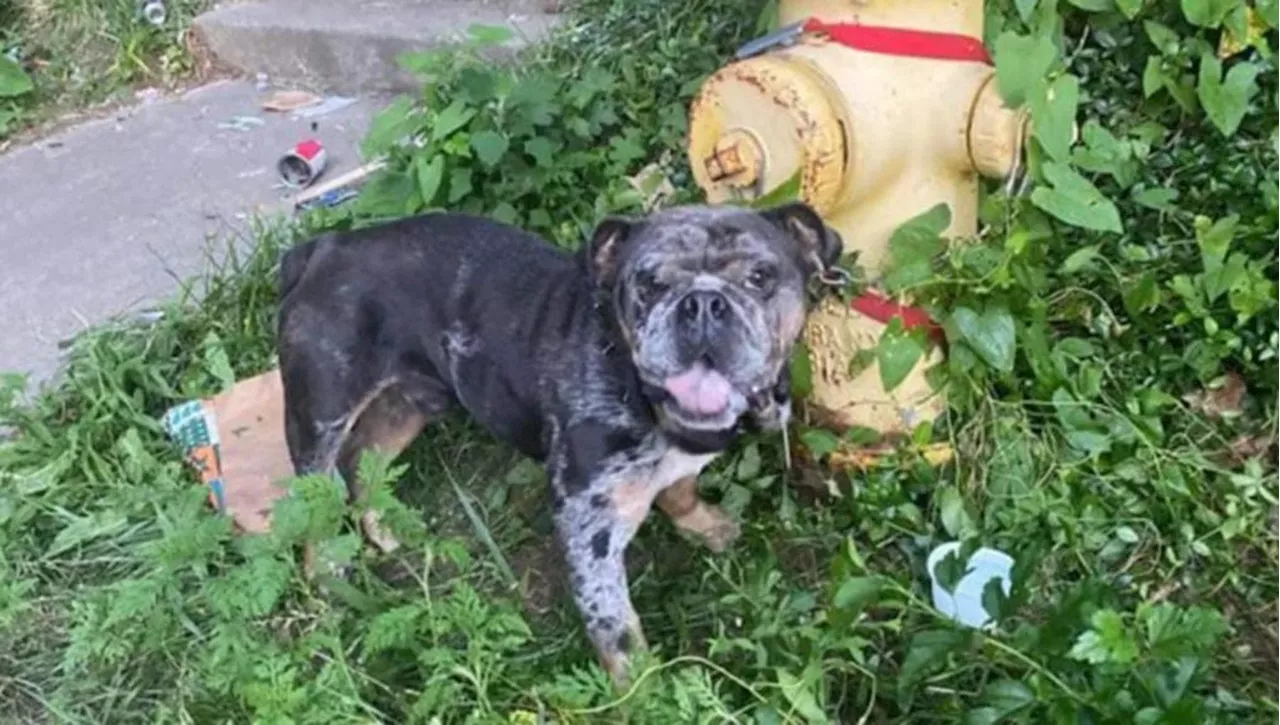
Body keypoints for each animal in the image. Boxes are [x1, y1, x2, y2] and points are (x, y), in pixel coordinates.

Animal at [275, 202, 844, 686]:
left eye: (760, 277)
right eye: (649, 282)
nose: (702, 301)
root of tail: (323, 247)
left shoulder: (678, 464)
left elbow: (680, 489)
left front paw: (704, 525)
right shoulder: (590, 524)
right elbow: (614, 624)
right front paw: (642, 692)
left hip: (412, 403)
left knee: (364, 460)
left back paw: (384, 527)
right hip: (321, 412)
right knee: (317, 493)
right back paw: (326, 570)